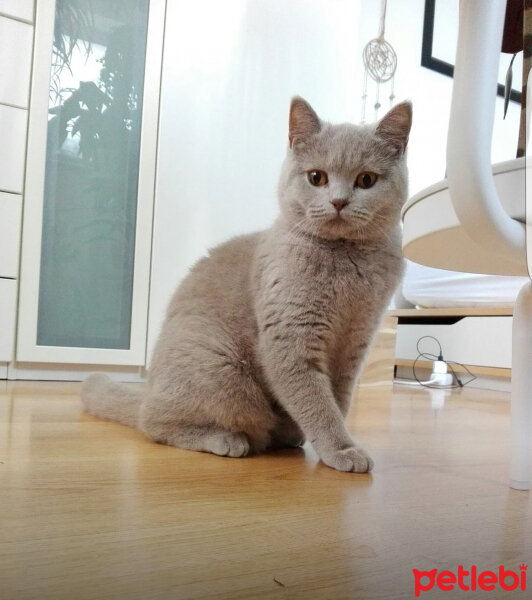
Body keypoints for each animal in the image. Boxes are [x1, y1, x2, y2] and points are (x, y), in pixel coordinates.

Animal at [81, 97, 412, 474]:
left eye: (366, 180)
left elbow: (338, 399)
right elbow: (317, 401)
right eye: (317, 177)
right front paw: (341, 450)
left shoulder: (356, 340)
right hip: (222, 372)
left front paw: (339, 444)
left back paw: (288, 435)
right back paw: (226, 439)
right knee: (152, 422)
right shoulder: (290, 337)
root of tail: (148, 388)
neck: (346, 262)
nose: (339, 201)